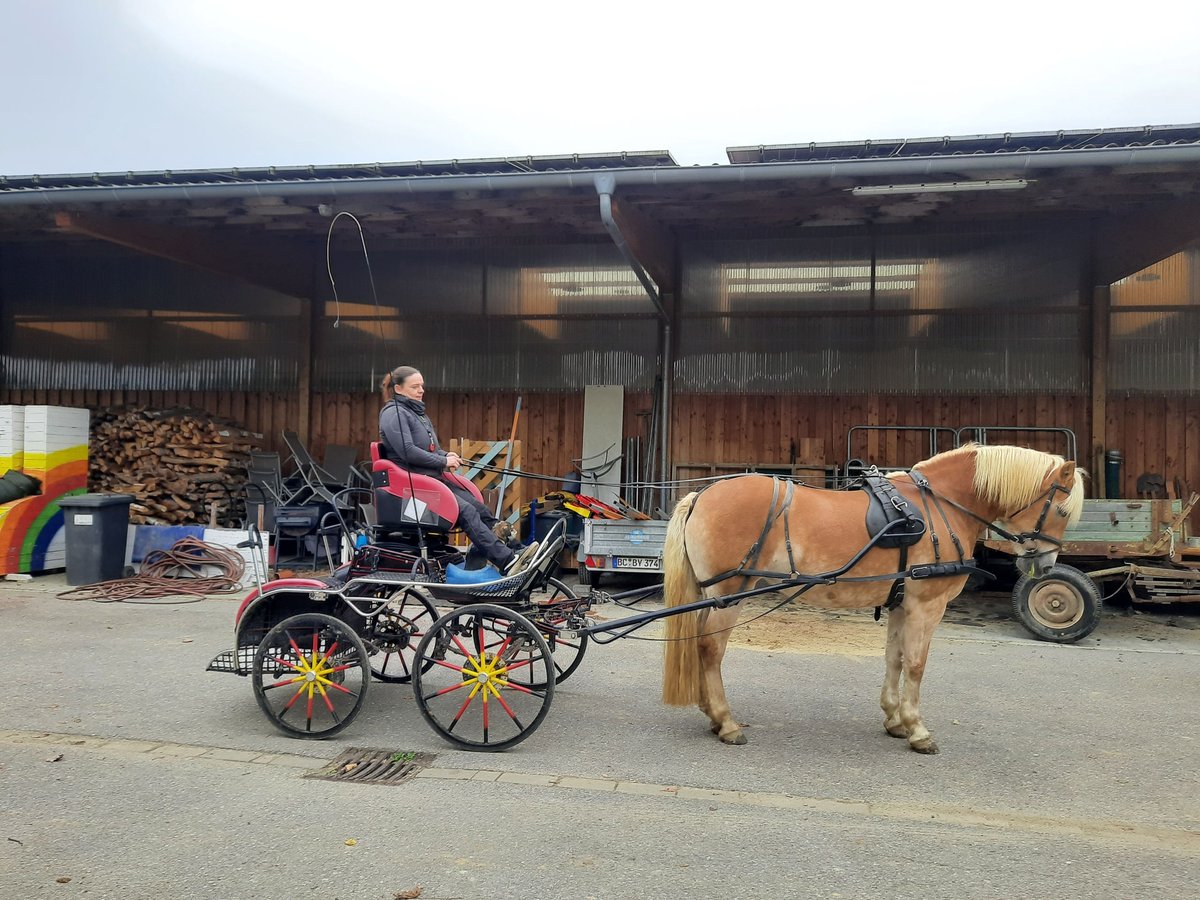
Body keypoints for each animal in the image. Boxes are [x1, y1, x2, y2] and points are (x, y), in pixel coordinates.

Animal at [662, 444, 1084, 753]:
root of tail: (701, 495)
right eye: (1062, 510)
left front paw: (895, 719)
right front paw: (917, 729)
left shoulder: (901, 602)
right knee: (710, 649)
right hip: (730, 593)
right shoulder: (926, 606)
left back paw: (712, 714)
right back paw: (727, 722)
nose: (1046, 565)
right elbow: (916, 664)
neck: (941, 506)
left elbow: (894, 659)